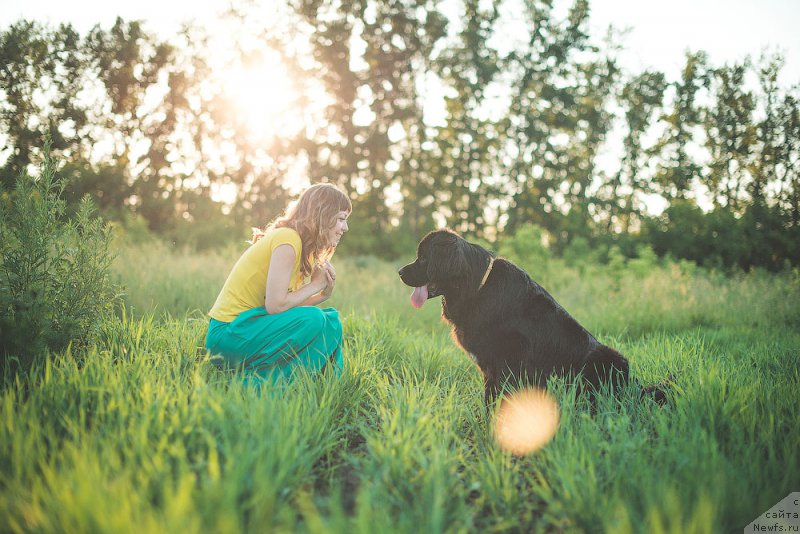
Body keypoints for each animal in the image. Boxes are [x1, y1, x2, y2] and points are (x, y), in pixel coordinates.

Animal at [398, 228, 664, 408]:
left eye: (424, 258)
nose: (399, 271)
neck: (477, 287)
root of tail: (635, 386)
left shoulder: (508, 364)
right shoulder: (490, 368)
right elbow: (489, 398)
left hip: (608, 358)